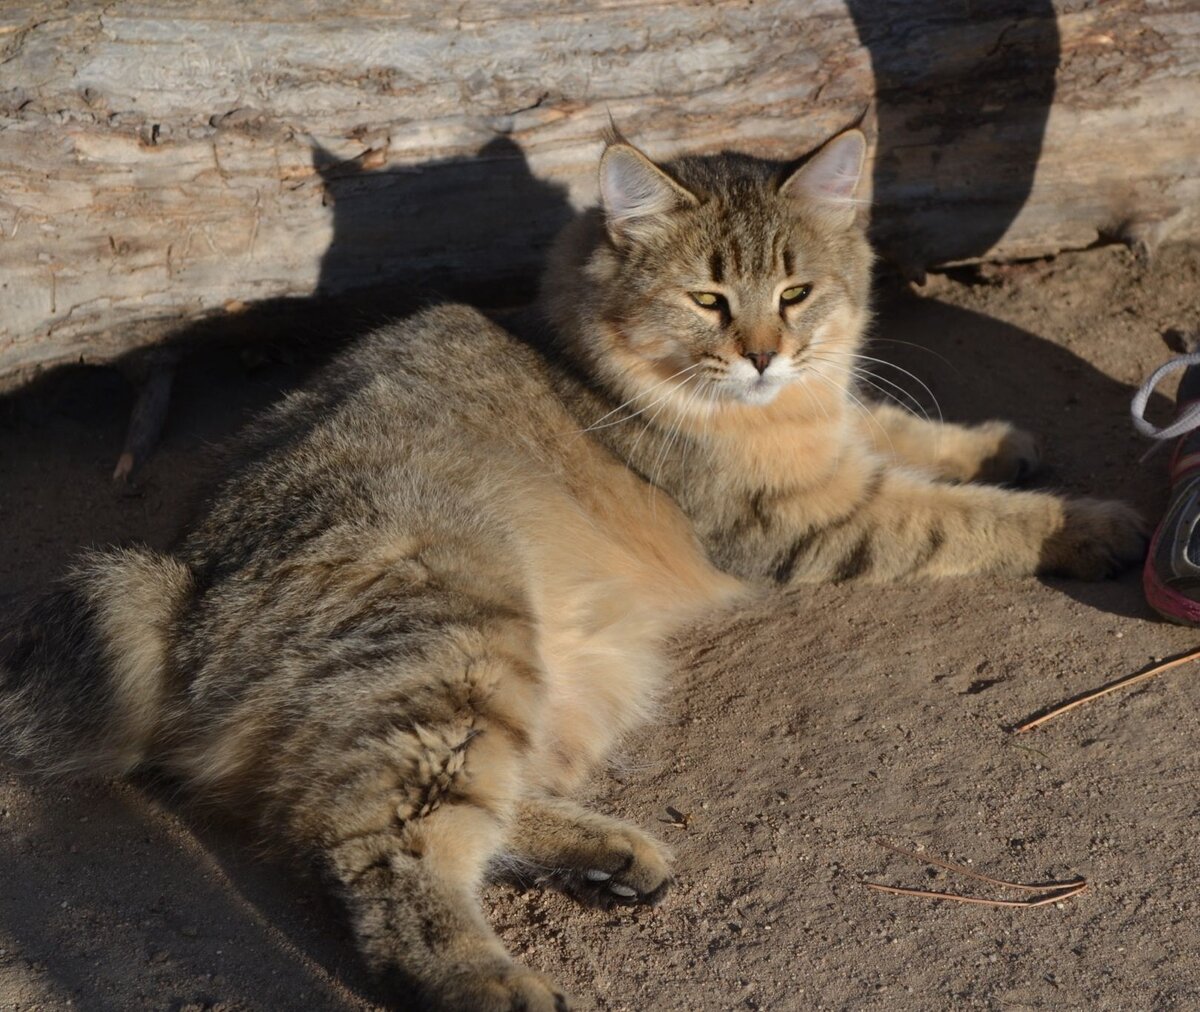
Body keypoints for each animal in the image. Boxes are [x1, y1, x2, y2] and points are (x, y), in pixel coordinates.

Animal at [0, 130, 1142, 1008]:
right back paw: (484, 978)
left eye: (797, 291)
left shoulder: (837, 441)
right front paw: (1089, 522)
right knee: (379, 842)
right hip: (462, 638)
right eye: (708, 299)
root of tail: (182, 590)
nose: (765, 355)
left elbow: (906, 431)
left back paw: (615, 857)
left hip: (563, 680)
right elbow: (957, 517)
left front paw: (1000, 443)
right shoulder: (807, 521)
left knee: (470, 808)